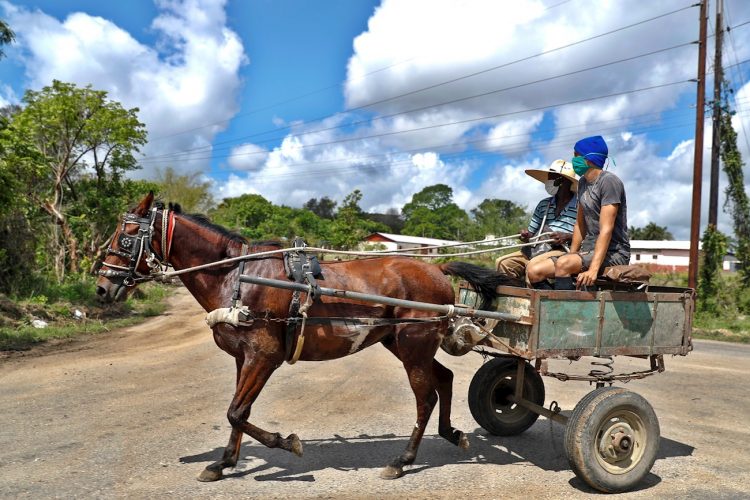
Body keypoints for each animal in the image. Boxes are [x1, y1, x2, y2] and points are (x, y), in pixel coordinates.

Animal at [92, 191, 506, 480]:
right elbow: (238, 412)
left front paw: (286, 443)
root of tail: (436, 268)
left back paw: (402, 460)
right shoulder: (244, 358)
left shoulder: (264, 355)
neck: (237, 276)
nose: (101, 287)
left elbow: (236, 411)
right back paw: (451, 433)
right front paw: (223, 463)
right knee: (445, 378)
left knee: (425, 397)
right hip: (403, 345)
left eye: (127, 236)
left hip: (413, 346)